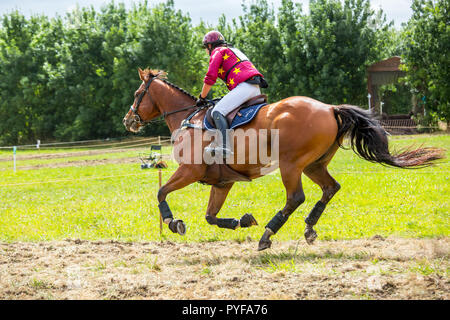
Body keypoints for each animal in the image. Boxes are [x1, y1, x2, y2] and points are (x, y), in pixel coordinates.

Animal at [121, 69, 444, 251]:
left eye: (137, 94)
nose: (128, 120)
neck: (189, 118)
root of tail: (329, 108)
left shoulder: (189, 171)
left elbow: (161, 193)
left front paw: (172, 222)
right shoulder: (222, 183)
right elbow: (211, 216)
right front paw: (243, 220)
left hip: (291, 164)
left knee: (295, 198)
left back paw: (267, 235)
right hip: (314, 164)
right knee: (330, 188)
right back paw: (309, 228)